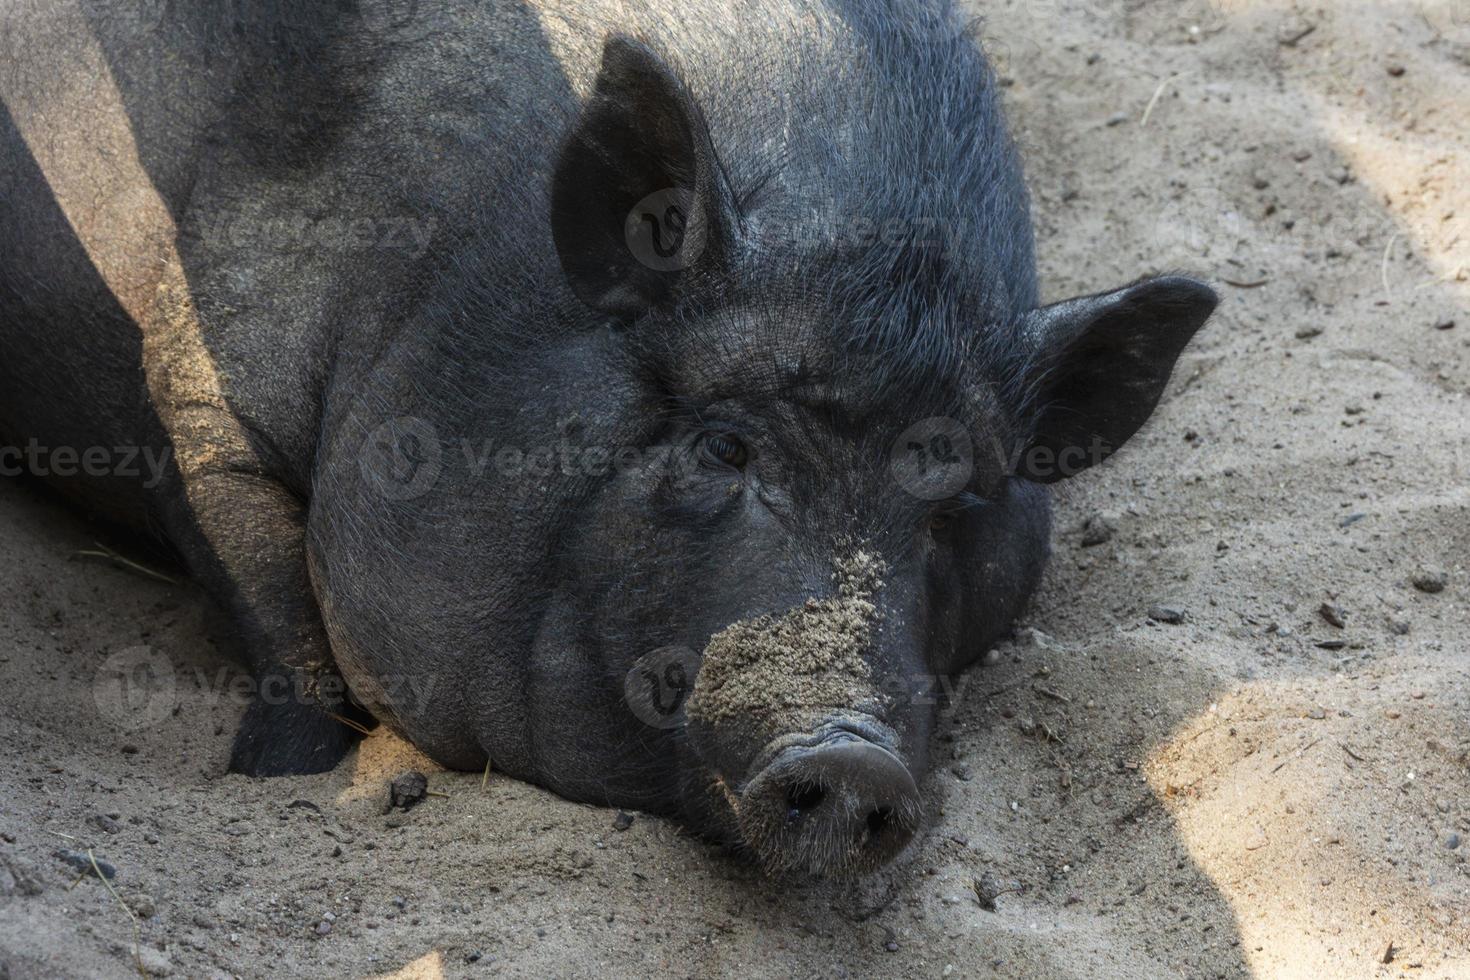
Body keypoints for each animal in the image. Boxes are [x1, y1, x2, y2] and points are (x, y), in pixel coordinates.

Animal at [2, 0, 1217, 875]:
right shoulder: (200, 388)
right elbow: (274, 605)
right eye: (723, 446)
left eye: (961, 502)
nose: (852, 755)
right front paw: (278, 781)